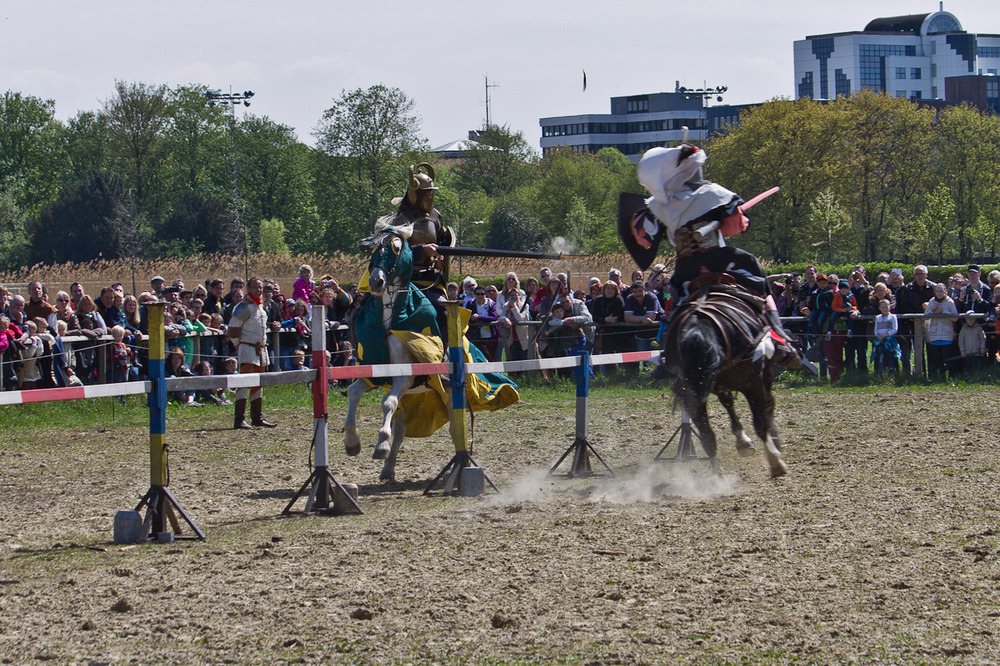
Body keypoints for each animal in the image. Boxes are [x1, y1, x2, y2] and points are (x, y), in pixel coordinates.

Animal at [660, 282, 792, 478]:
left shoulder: (716, 384)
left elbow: (729, 403)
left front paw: (743, 442)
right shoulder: (757, 378)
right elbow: (765, 409)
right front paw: (774, 447)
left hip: (694, 391)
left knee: (707, 433)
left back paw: (718, 475)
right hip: (751, 380)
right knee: (760, 419)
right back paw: (775, 461)